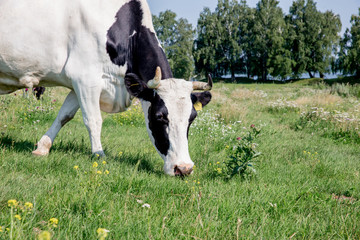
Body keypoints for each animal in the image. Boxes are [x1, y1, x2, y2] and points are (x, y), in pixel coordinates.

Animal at [0, 0, 211, 176]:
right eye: (159, 116)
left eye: (192, 117)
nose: (183, 168)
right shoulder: (85, 77)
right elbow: (93, 120)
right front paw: (99, 155)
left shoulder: (79, 84)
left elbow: (64, 116)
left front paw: (42, 147)